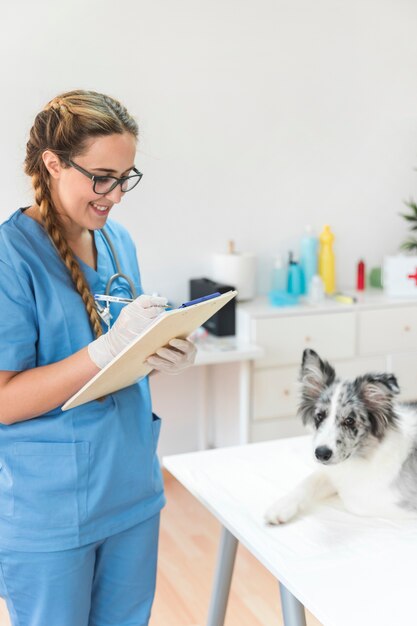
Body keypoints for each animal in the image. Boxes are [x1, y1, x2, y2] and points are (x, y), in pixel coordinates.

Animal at [264, 346, 416, 520]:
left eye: (349, 421)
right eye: (319, 416)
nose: (321, 454)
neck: (365, 455)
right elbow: (311, 479)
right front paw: (280, 507)